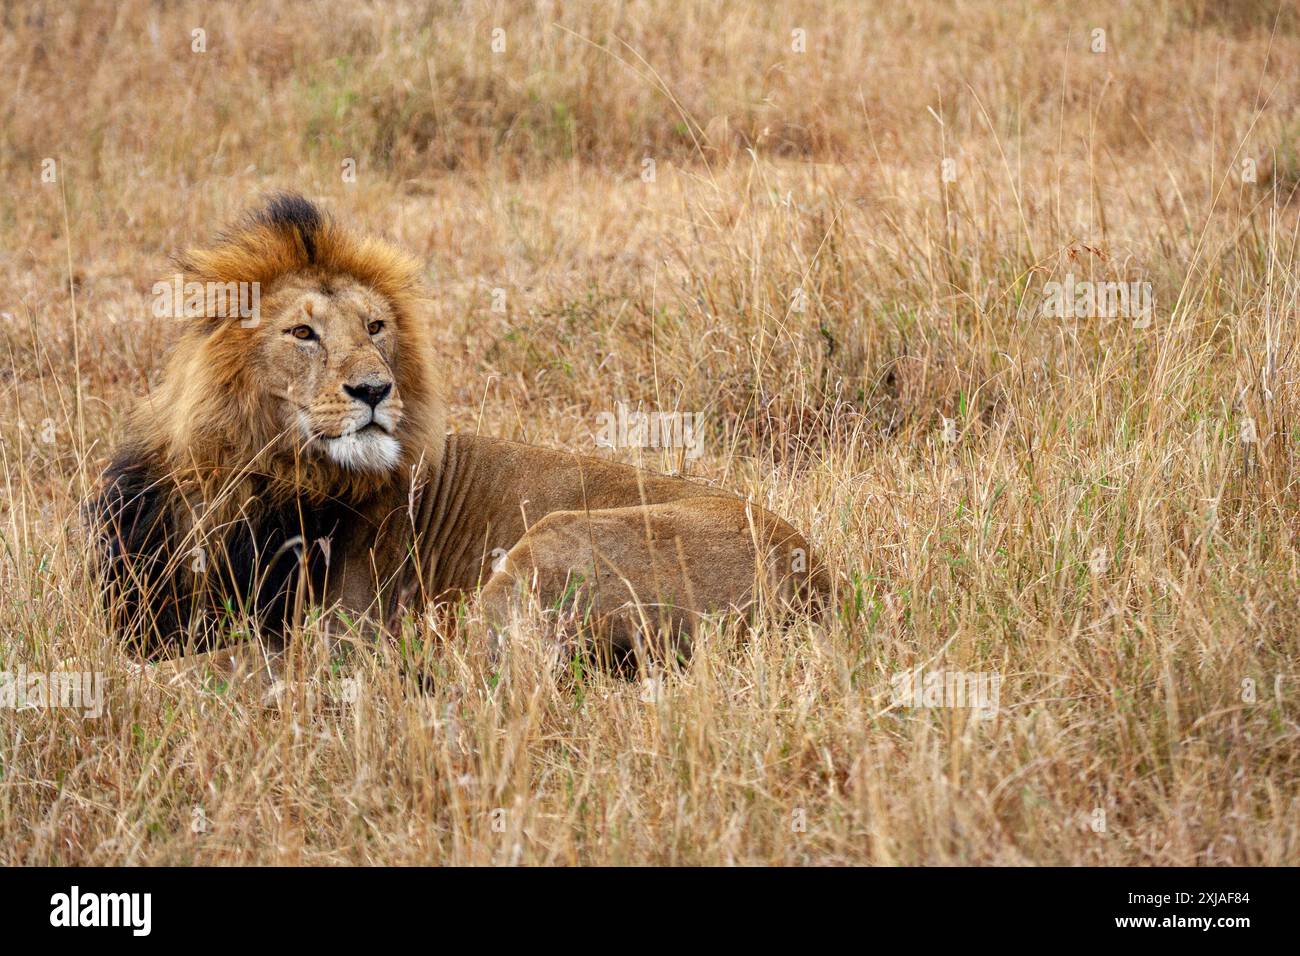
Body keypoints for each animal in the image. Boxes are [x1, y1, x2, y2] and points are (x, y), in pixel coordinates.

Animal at [92, 193, 829, 684]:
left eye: (376, 327)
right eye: (303, 332)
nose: (374, 390)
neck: (250, 474)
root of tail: (814, 584)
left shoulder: (336, 632)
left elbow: (192, 665)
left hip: (551, 544)